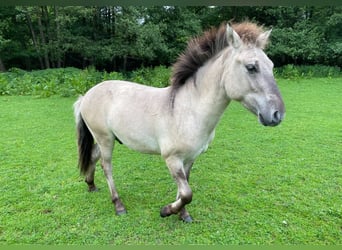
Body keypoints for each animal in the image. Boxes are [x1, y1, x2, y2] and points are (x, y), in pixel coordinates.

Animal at [73, 21, 284, 221]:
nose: (277, 114)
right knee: (106, 166)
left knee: (93, 156)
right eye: (251, 67)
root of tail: (87, 95)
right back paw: (118, 205)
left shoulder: (190, 158)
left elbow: (184, 189)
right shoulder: (172, 159)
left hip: (106, 139)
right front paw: (166, 211)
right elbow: (187, 193)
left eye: (272, 66)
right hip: (105, 139)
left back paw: (91, 185)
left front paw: (183, 214)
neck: (188, 110)